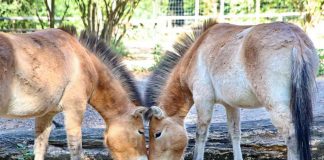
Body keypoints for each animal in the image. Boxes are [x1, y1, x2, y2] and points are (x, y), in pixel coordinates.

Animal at [0, 26, 149, 159]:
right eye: (141, 131)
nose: (144, 158)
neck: (84, 60)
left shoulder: (46, 114)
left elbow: (40, 148)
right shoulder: (75, 110)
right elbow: (75, 150)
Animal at [144, 20, 318, 160]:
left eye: (157, 134)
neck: (195, 52)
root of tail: (295, 39)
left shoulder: (203, 100)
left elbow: (201, 134)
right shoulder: (231, 105)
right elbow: (235, 134)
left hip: (275, 106)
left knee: (291, 136)